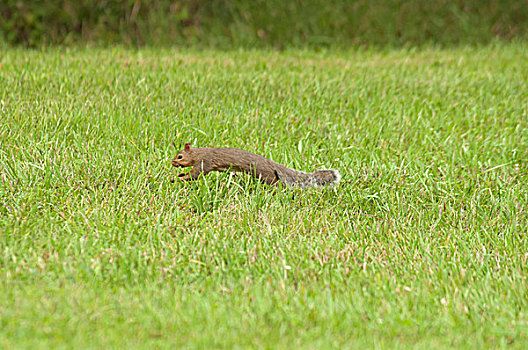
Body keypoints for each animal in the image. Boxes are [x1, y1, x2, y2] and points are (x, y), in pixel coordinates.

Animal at [171, 143, 340, 189]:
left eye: (180, 156)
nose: (172, 162)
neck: (197, 154)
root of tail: (271, 163)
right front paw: (178, 175)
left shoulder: (204, 162)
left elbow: (195, 175)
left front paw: (177, 179)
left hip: (265, 174)